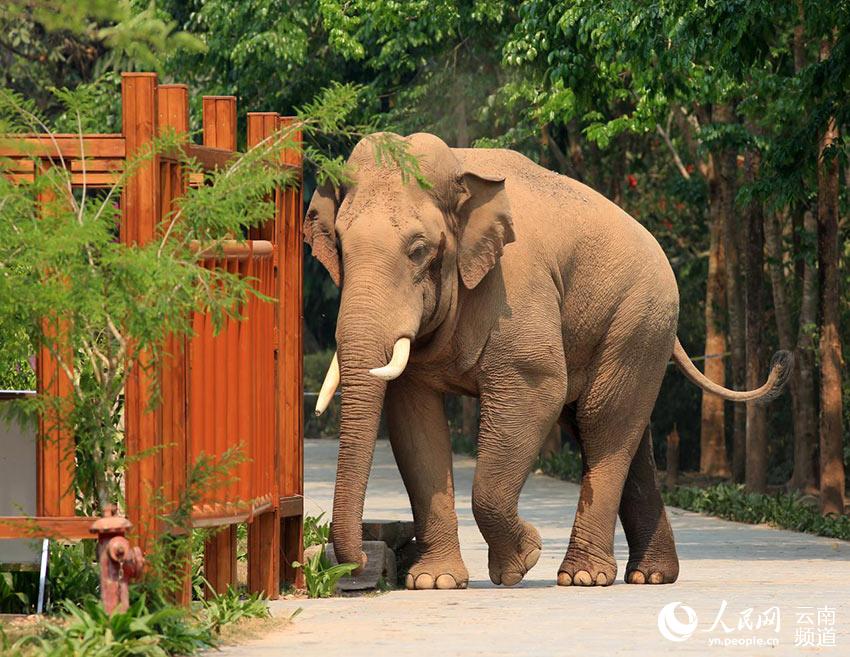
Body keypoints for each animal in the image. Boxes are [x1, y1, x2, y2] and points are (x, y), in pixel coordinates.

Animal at [304, 132, 791, 590]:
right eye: (340, 247)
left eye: (419, 249)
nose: (361, 561)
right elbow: (414, 419)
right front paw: (434, 581)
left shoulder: (518, 289)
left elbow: (536, 390)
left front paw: (524, 559)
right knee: (619, 429)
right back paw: (650, 576)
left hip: (638, 318)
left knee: (602, 422)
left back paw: (584, 577)